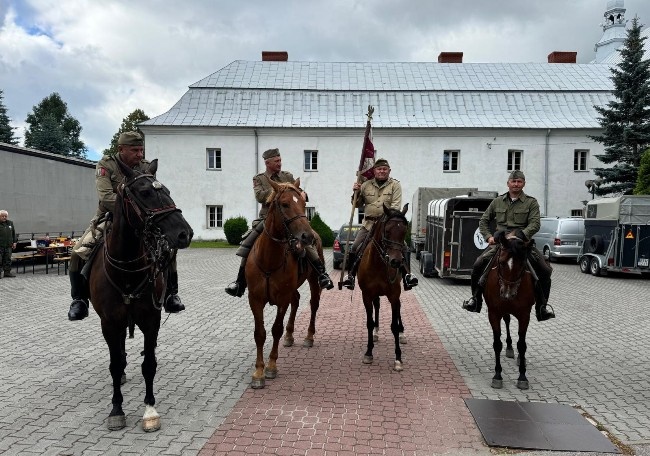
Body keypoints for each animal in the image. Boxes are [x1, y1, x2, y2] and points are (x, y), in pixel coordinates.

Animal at [90, 160, 194, 432]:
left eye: (167, 190)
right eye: (145, 192)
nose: (184, 233)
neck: (126, 270)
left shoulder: (151, 319)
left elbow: (149, 365)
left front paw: (149, 410)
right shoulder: (109, 323)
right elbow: (115, 365)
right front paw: (116, 410)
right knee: (119, 354)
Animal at [246, 178, 322, 388]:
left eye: (304, 203)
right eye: (285, 204)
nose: (307, 237)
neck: (269, 260)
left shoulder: (282, 299)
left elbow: (276, 329)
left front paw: (271, 366)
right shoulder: (255, 300)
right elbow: (260, 333)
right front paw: (258, 372)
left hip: (314, 281)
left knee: (313, 304)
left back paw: (308, 337)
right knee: (296, 301)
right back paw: (290, 335)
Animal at [354, 203, 404, 370]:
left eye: (404, 231)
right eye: (387, 231)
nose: (396, 261)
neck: (378, 264)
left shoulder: (394, 296)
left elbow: (394, 326)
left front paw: (398, 358)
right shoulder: (367, 295)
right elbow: (369, 323)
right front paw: (369, 353)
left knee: (399, 310)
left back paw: (402, 333)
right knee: (377, 306)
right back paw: (376, 333)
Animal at [484, 230, 536, 390]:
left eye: (522, 264)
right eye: (501, 262)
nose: (508, 294)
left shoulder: (525, 315)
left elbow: (522, 345)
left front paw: (522, 377)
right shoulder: (493, 313)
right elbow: (497, 344)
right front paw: (497, 375)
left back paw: (519, 357)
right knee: (507, 320)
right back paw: (509, 348)